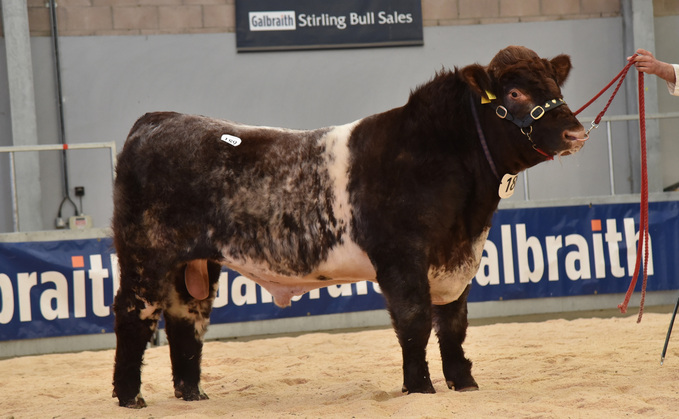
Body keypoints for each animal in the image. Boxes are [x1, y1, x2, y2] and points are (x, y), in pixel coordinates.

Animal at [113, 45, 588, 406]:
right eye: (515, 91)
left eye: (555, 86)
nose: (577, 133)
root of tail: (156, 120)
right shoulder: (401, 259)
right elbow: (415, 322)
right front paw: (420, 388)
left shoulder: (458, 260)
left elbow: (453, 325)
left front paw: (463, 383)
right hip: (144, 253)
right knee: (135, 314)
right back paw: (129, 396)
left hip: (192, 263)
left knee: (185, 319)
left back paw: (192, 394)